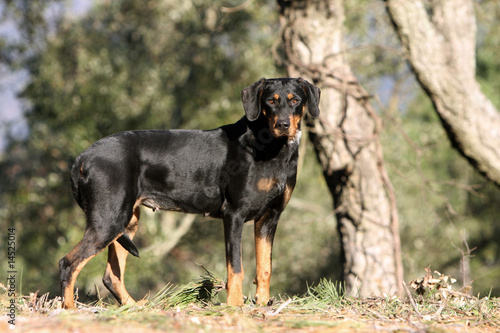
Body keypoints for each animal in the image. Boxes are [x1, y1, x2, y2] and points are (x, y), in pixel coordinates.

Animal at [58, 76, 320, 308]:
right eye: (270, 101)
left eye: (295, 100)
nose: (283, 125)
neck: (272, 148)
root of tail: (83, 157)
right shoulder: (233, 214)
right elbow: (235, 268)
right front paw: (235, 306)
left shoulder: (269, 217)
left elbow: (265, 267)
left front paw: (263, 304)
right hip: (108, 220)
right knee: (68, 263)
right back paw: (69, 310)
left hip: (127, 222)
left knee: (111, 276)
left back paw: (135, 308)